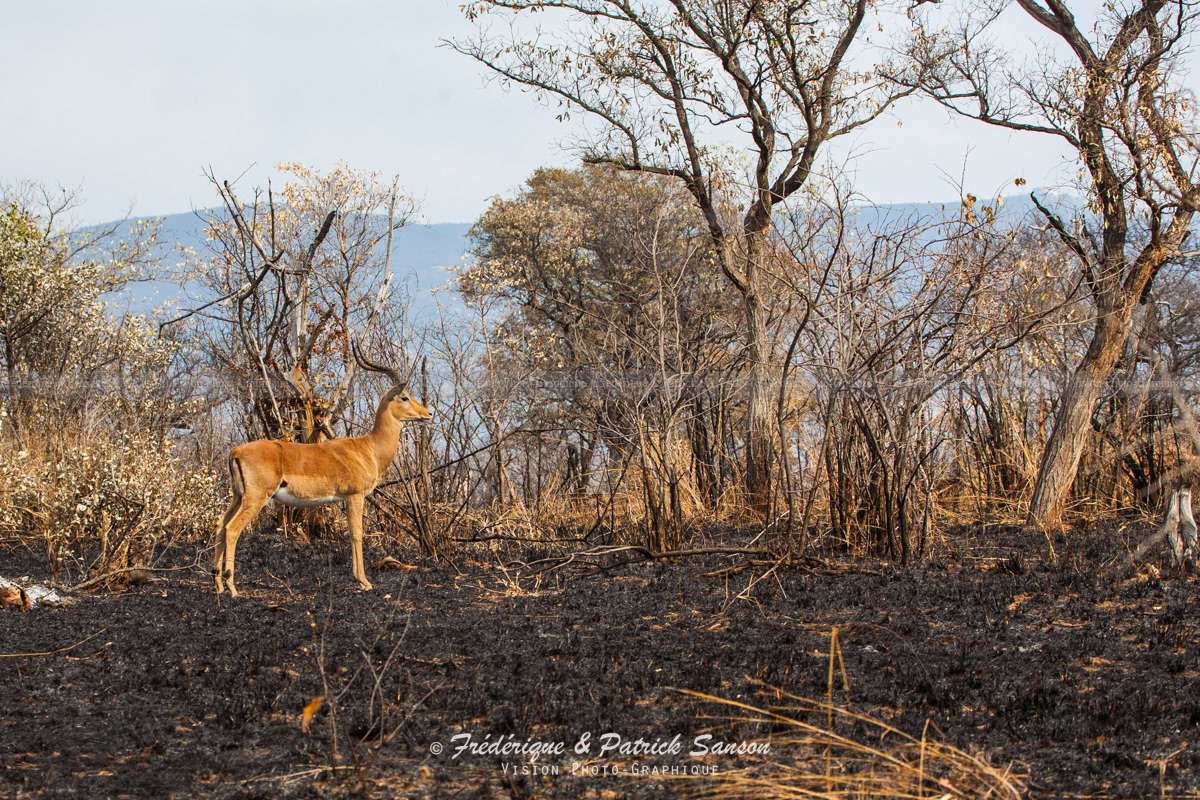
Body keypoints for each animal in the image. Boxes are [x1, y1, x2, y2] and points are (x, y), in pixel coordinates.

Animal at [212, 344, 432, 598]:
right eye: (404, 397)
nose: (428, 414)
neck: (369, 448)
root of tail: (235, 451)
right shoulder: (354, 496)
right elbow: (356, 534)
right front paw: (363, 581)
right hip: (256, 497)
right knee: (232, 529)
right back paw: (232, 588)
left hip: (238, 496)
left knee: (220, 525)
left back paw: (218, 585)